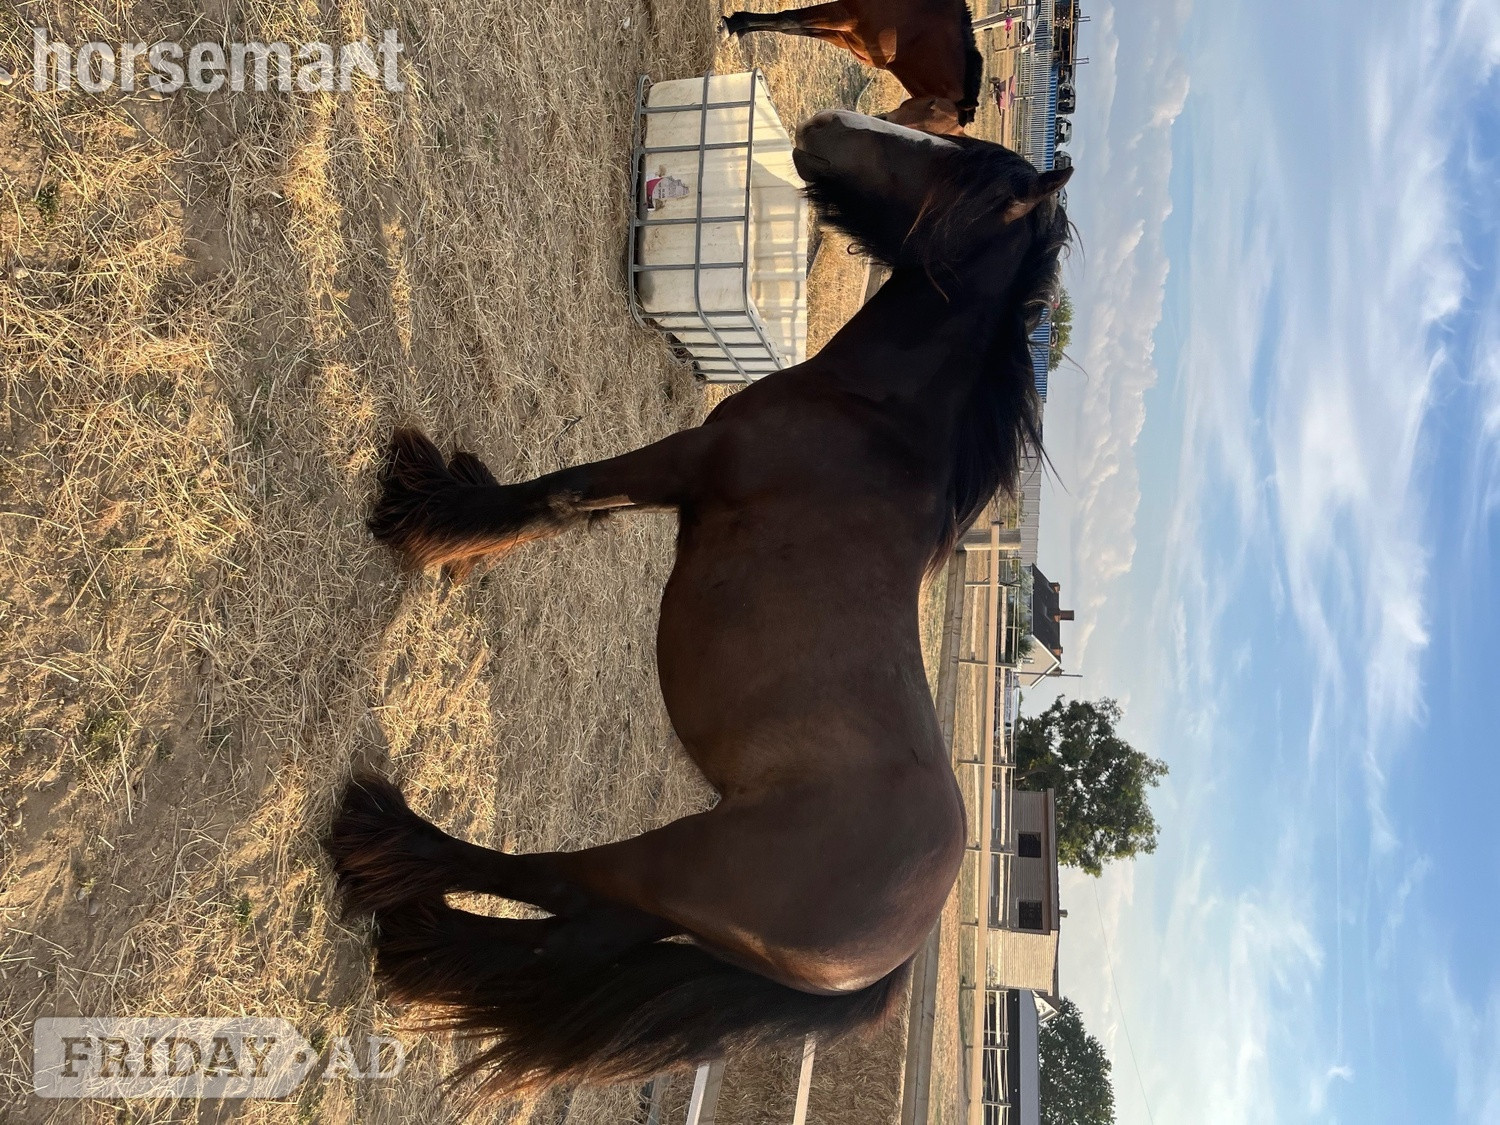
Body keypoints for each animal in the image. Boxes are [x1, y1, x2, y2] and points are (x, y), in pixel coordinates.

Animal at [327, 110, 1071, 1101]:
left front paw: (425, 512)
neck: (876, 422)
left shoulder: (683, 462)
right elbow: (565, 507)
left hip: (673, 866)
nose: (826, 126)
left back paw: (391, 843)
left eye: (954, 166)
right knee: (574, 939)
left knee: (559, 888)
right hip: (676, 903)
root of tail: (897, 949)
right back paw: (418, 936)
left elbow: (558, 494)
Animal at [723, 0, 984, 125]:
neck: (918, 30)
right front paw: (733, 24)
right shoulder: (846, 14)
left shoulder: (846, 35)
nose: (882, 120)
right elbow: (788, 20)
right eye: (932, 108)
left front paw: (739, 25)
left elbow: (791, 27)